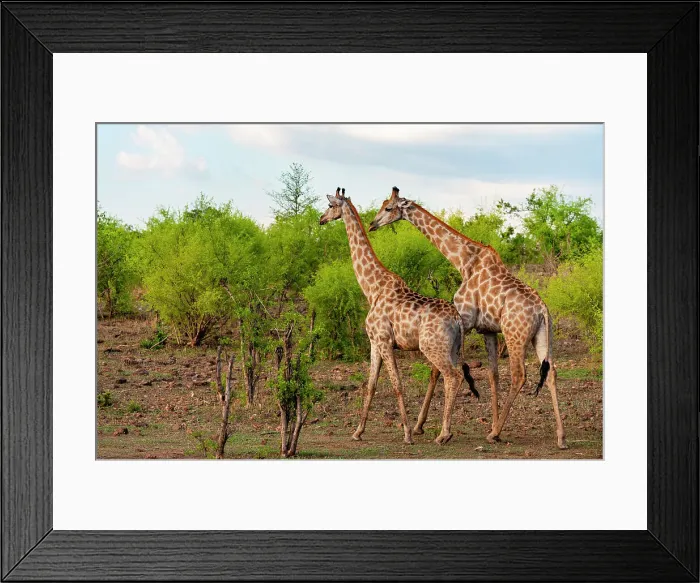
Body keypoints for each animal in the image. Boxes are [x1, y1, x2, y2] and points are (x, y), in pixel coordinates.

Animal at [319, 187, 478, 445]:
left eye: (330, 205)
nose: (321, 219)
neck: (372, 288)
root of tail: (457, 320)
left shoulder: (384, 341)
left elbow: (397, 385)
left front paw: (407, 434)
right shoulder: (374, 342)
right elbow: (371, 385)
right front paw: (358, 431)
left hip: (432, 347)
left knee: (452, 377)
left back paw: (443, 434)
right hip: (453, 349)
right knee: (452, 376)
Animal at [369, 187, 567, 450]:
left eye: (388, 208)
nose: (372, 224)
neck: (464, 261)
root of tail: (543, 310)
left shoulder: (463, 318)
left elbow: (436, 371)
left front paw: (421, 426)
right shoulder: (488, 329)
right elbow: (493, 375)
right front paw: (493, 424)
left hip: (515, 336)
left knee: (519, 375)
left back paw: (496, 433)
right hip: (542, 336)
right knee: (552, 372)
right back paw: (560, 437)